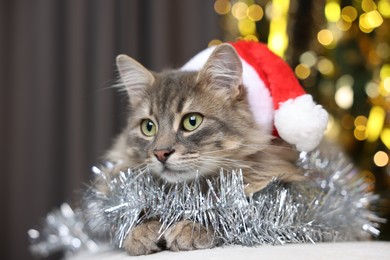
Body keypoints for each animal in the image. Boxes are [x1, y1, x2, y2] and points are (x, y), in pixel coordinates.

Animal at [100, 43, 302, 255]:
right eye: (148, 127)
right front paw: (143, 229)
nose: (160, 153)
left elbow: (231, 212)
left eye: (192, 121)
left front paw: (192, 227)